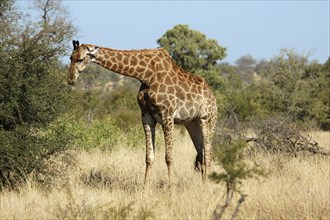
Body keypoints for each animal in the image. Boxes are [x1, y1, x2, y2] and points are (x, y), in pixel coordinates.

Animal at [67, 40, 217, 184]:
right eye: (70, 57)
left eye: (80, 59)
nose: (70, 79)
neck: (146, 75)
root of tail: (213, 97)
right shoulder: (146, 115)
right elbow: (149, 157)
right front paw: (145, 188)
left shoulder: (167, 115)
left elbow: (169, 157)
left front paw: (171, 188)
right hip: (192, 123)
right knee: (202, 154)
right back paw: (202, 185)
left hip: (207, 120)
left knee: (208, 154)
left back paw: (205, 188)